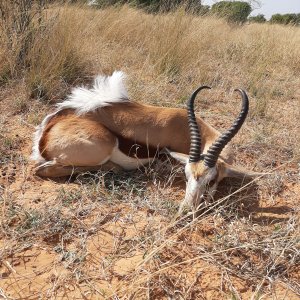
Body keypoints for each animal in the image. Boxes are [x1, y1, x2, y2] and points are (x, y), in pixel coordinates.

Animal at [31, 71, 258, 214]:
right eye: (186, 176)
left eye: (211, 181)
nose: (187, 209)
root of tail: (49, 127)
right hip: (104, 144)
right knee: (41, 169)